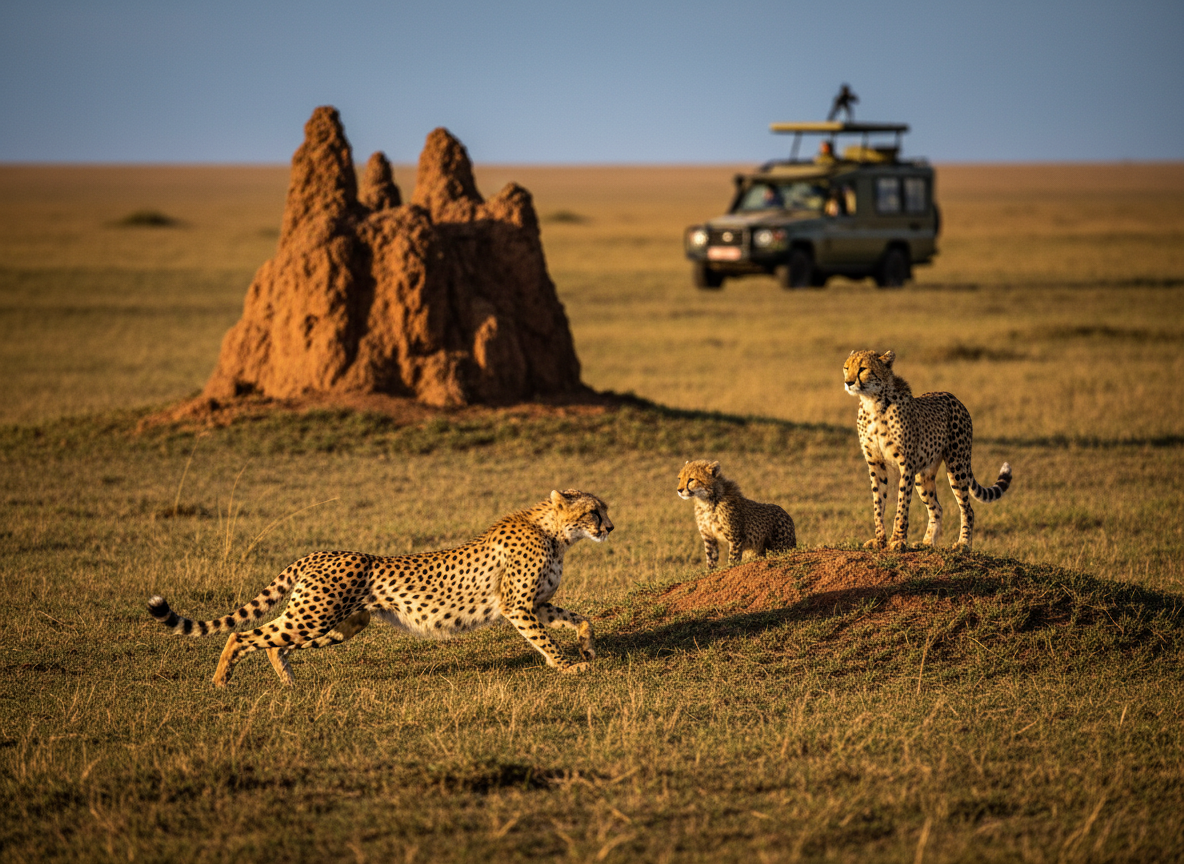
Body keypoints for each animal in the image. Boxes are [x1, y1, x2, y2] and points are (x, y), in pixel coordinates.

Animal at [148, 489, 613, 687]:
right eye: (594, 511)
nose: (610, 527)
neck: (555, 532)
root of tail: (319, 553)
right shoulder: (518, 606)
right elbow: (547, 641)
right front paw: (569, 667)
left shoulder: (536, 603)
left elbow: (581, 619)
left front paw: (588, 650)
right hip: (314, 616)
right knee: (242, 634)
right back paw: (220, 680)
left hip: (339, 624)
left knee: (272, 642)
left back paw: (287, 680)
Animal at [843, 349, 1012, 551]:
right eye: (846, 368)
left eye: (862, 369)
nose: (848, 382)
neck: (872, 402)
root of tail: (952, 396)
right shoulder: (876, 463)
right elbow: (878, 503)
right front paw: (880, 540)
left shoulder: (906, 464)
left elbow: (902, 503)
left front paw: (897, 540)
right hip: (923, 475)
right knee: (936, 507)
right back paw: (927, 542)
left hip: (957, 465)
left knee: (967, 509)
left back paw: (963, 544)